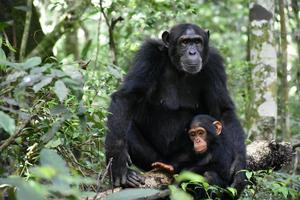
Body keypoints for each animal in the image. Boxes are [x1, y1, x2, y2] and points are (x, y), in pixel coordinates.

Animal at [105, 23, 246, 195]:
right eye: (184, 42)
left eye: (197, 42)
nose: (192, 52)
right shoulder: (149, 55)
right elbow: (128, 96)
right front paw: (117, 164)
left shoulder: (214, 63)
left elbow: (223, 110)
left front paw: (240, 169)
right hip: (153, 159)